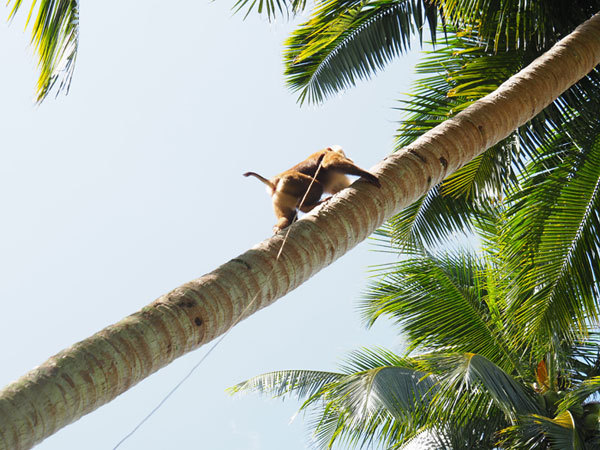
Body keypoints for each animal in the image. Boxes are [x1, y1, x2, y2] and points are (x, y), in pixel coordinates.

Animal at [243, 146, 380, 234]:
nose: (349, 158)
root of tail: (274, 181)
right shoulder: (326, 153)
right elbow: (330, 164)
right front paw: (367, 174)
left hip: (280, 196)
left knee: (287, 216)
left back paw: (279, 226)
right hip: (292, 181)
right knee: (316, 186)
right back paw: (306, 207)